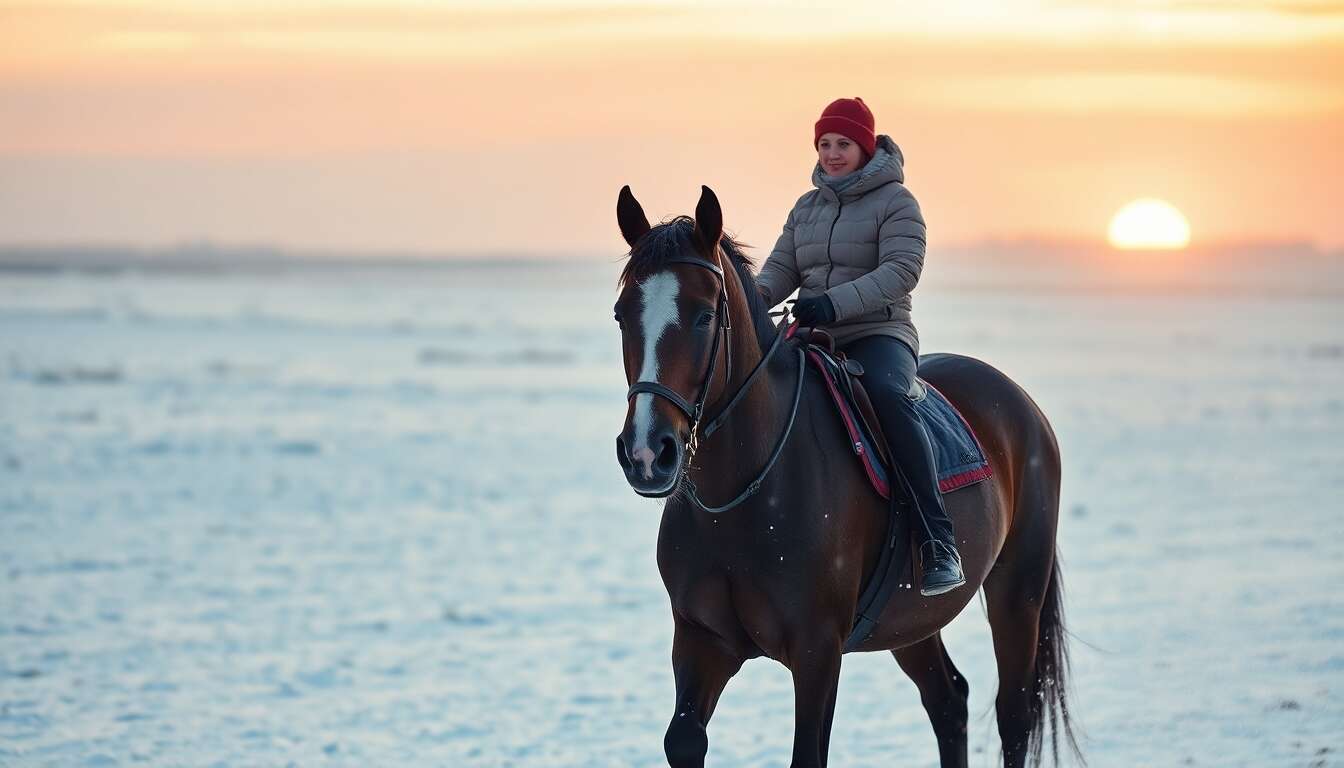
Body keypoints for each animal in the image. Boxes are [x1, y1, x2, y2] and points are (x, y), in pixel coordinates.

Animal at [612, 185, 1081, 768]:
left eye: (702, 317)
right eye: (622, 315)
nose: (647, 452)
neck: (744, 493)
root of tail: (1025, 408)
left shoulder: (818, 649)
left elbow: (807, 754)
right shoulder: (700, 640)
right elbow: (683, 740)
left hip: (1018, 593)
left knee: (1013, 715)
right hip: (911, 619)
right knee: (949, 700)